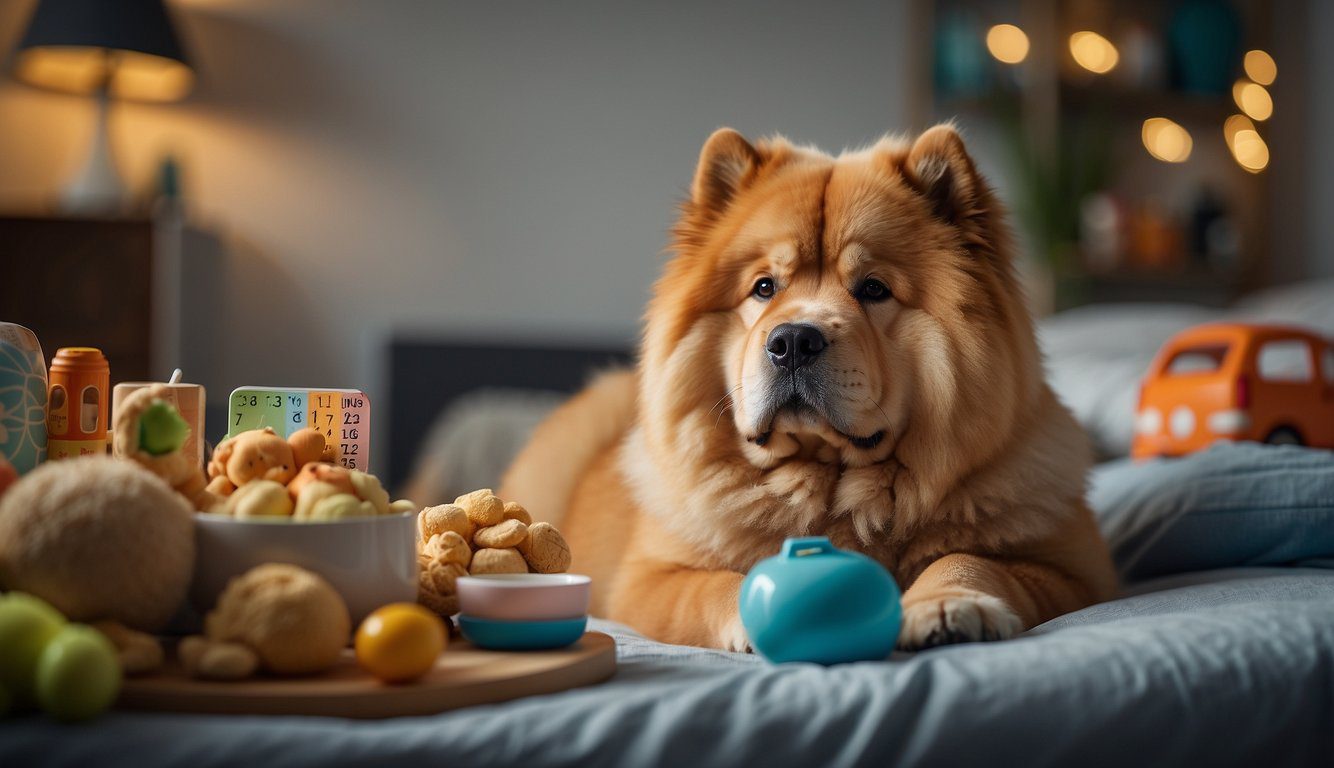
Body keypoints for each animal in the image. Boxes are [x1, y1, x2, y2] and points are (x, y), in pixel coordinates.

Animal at [501, 124, 1115, 648]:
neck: (834, 486)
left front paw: (945, 606)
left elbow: (973, 560)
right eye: (764, 288)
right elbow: (711, 583)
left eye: (873, 288)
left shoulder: (1074, 572)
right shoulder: (650, 580)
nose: (793, 340)